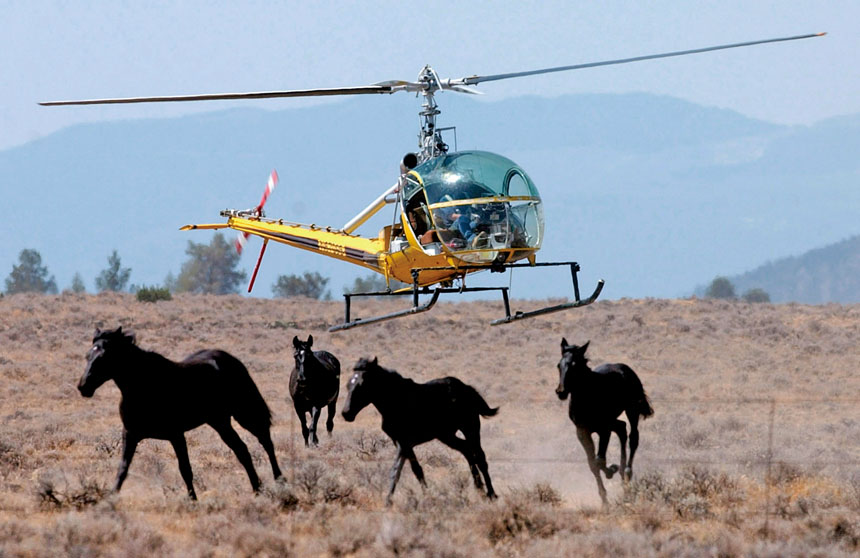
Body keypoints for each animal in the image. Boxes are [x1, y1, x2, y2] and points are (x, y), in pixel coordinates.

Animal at [77, 326, 283, 499]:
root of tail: (228, 358)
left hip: (244, 414)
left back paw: (280, 480)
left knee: (265, 441)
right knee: (242, 451)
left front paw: (193, 500)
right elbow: (123, 468)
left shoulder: (176, 435)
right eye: (88, 355)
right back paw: (257, 489)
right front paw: (111, 497)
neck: (144, 386)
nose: (83, 387)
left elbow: (185, 469)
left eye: (105, 356)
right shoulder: (130, 434)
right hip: (220, 422)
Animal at [341, 357, 498, 505]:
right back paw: (480, 489)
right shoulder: (401, 443)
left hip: (470, 428)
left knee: (480, 457)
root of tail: (466, 388)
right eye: (348, 384)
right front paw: (427, 496)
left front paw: (389, 502)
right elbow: (416, 470)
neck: (396, 401)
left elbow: (395, 470)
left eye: (362, 385)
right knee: (466, 450)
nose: (346, 413)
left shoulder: (403, 442)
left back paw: (491, 494)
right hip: (446, 435)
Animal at [556, 339, 654, 505]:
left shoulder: (604, 430)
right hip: (613, 420)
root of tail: (625, 368)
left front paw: (611, 469)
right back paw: (622, 473)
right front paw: (604, 500)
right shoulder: (582, 432)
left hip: (631, 410)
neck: (587, 398)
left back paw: (626, 473)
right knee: (622, 428)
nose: (561, 392)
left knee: (633, 437)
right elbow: (592, 464)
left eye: (575, 365)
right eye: (558, 365)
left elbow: (599, 460)